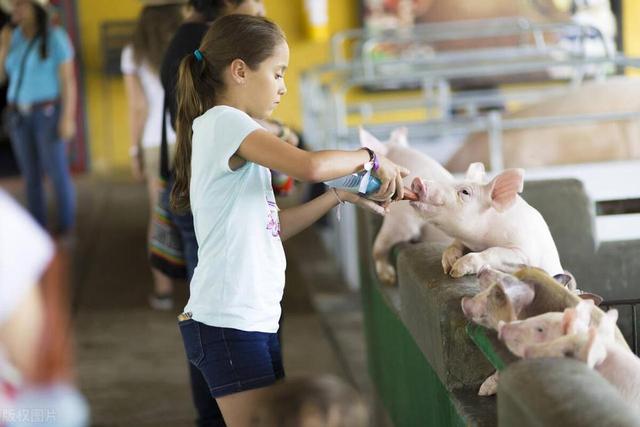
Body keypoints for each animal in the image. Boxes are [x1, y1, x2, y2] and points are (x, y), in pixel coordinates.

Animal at [410, 162, 560, 280]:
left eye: (465, 192)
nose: (417, 180)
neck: (480, 242)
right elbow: (453, 245)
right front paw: (448, 266)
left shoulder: (525, 253)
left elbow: (493, 251)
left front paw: (456, 271)